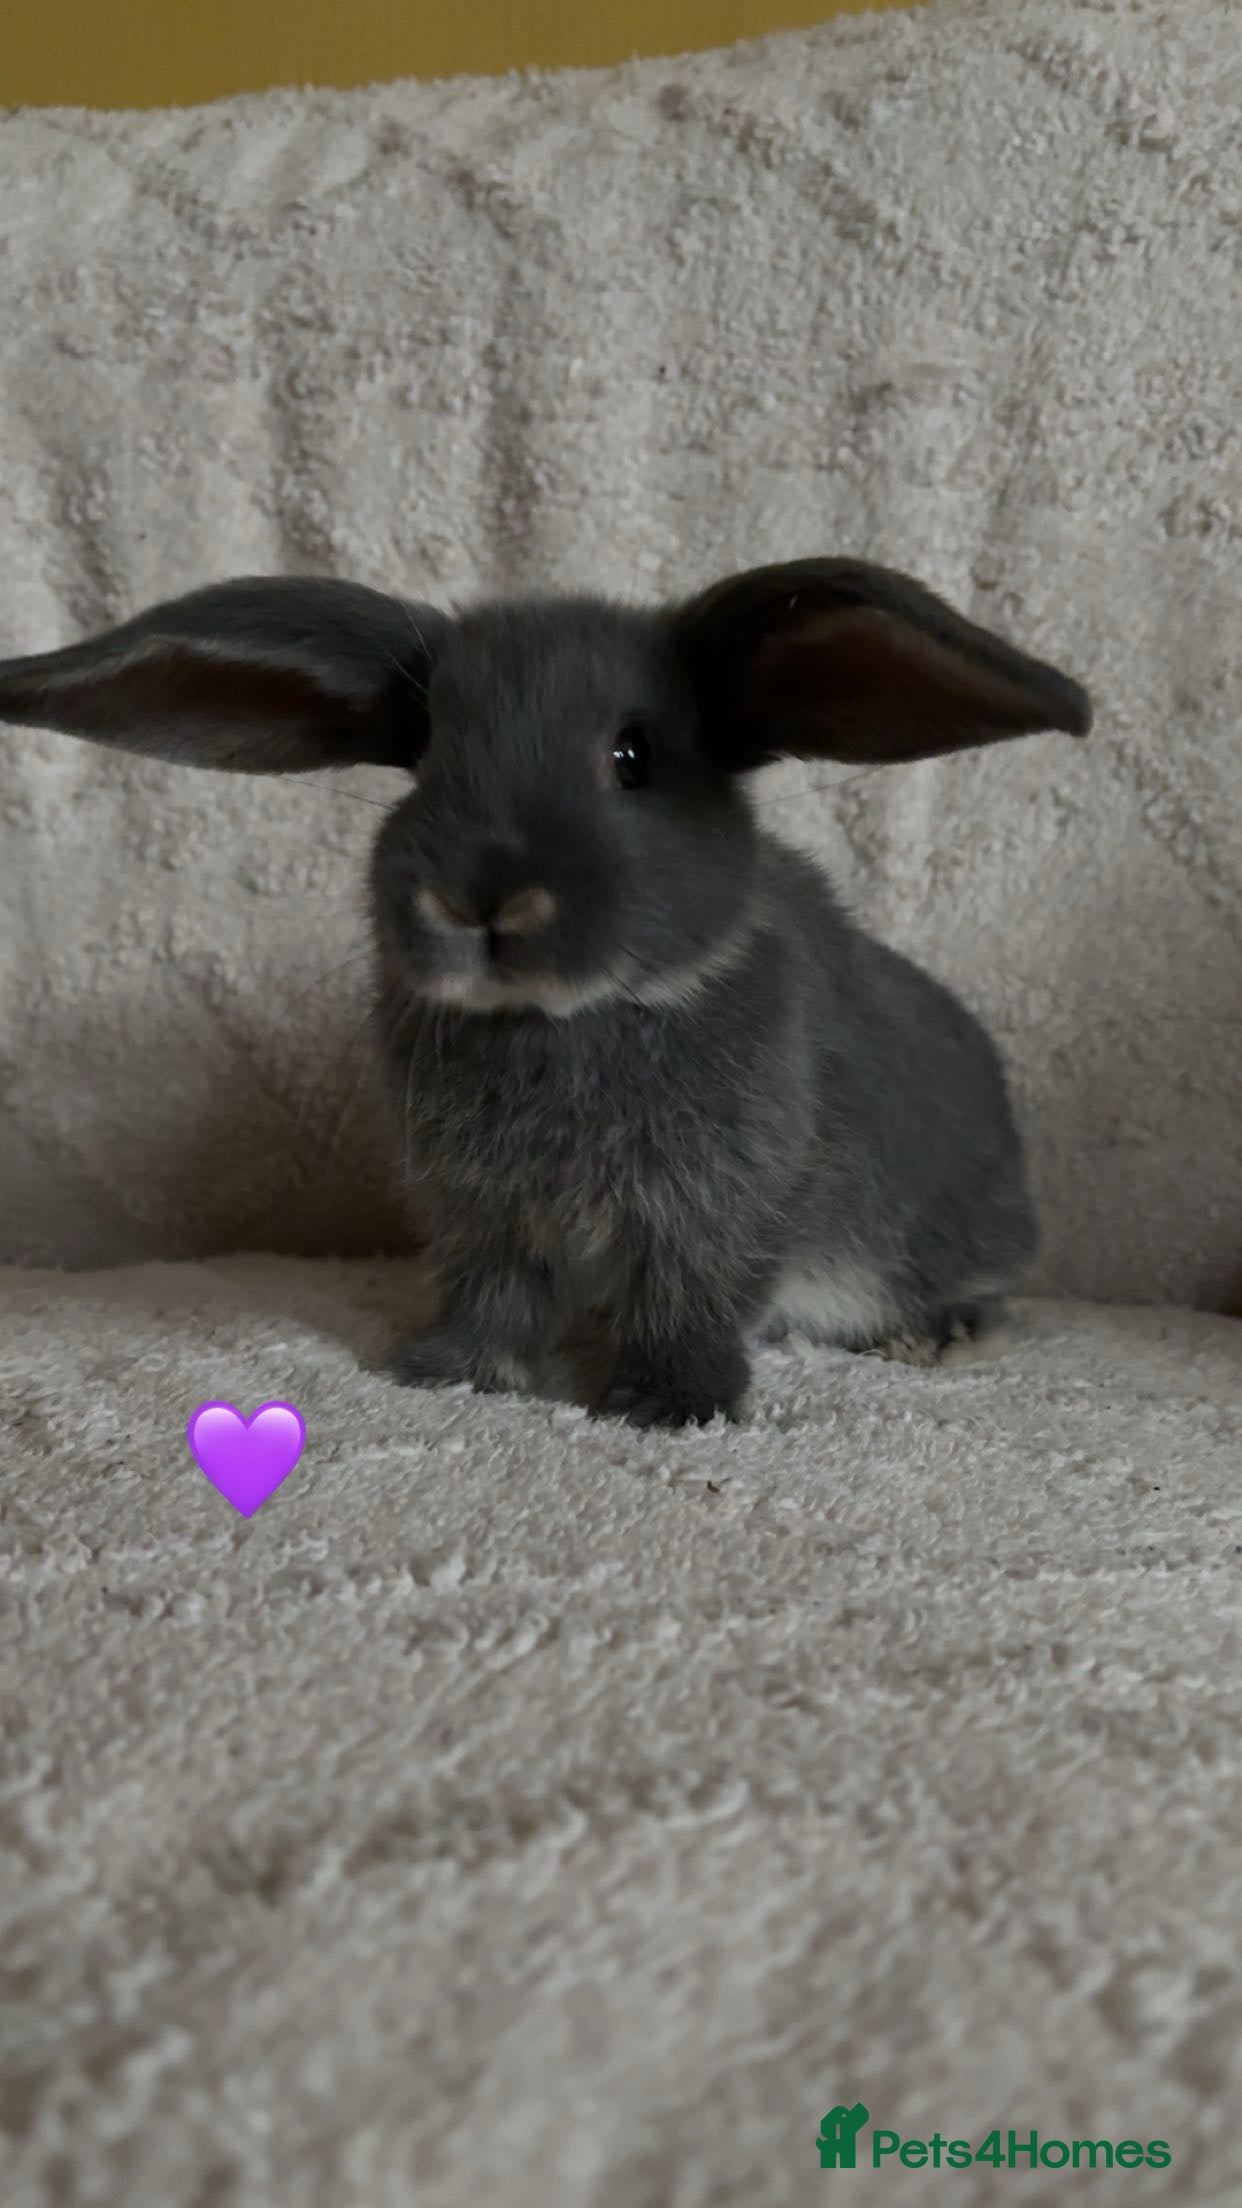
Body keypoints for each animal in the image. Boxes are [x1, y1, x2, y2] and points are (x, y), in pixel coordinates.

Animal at [0, 558, 1091, 1427]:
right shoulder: (481, 1213)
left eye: (633, 756)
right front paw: (453, 1372)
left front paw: (669, 1406)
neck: (562, 1018)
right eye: (429, 750)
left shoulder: (719, 1202)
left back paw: (941, 1336)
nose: (477, 897)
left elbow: (692, 1296)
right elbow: (494, 1295)